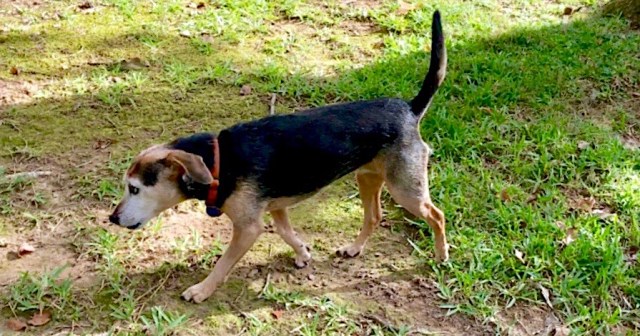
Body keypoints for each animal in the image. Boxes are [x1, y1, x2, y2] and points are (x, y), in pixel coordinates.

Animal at [110, 11, 448, 304]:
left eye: (135, 188)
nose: (112, 218)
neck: (219, 160)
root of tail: (410, 108)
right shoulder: (277, 208)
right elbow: (288, 234)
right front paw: (303, 254)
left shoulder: (248, 229)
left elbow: (223, 264)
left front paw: (202, 290)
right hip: (367, 177)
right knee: (374, 216)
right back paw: (354, 248)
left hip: (405, 189)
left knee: (436, 215)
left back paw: (441, 255)